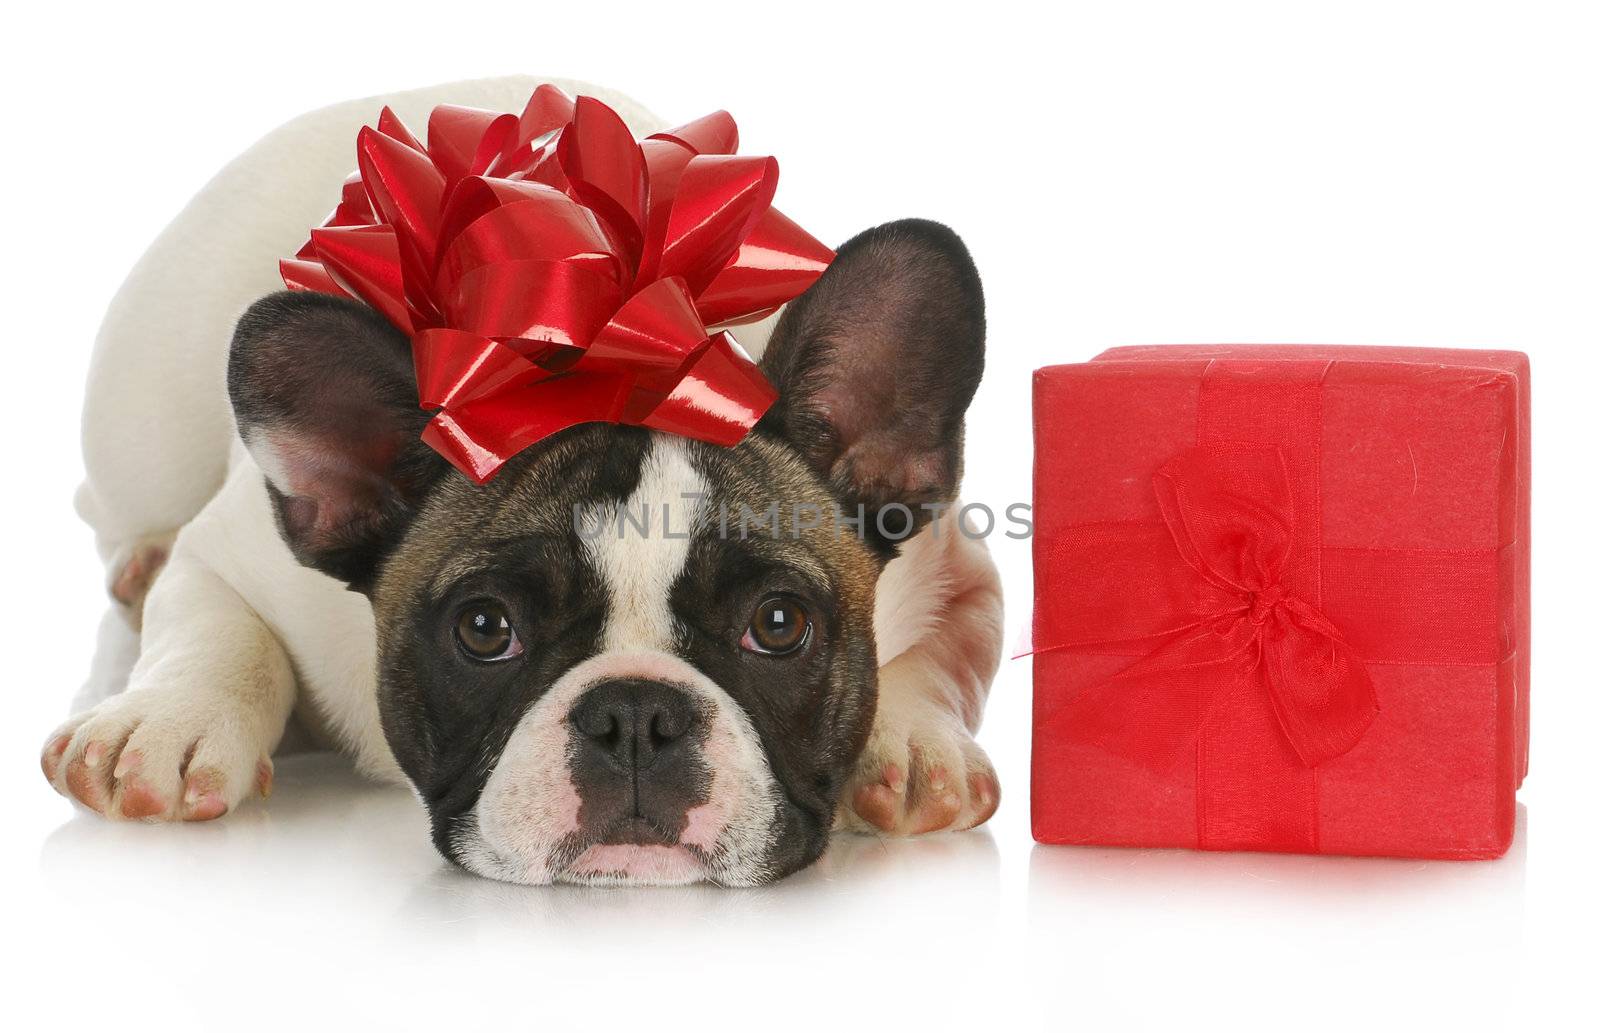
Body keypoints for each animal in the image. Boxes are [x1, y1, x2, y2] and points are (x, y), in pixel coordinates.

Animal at [40, 74, 998, 889]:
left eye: (778, 623)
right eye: (484, 628)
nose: (637, 715)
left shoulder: (956, 568)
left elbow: (941, 659)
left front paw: (914, 745)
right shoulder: (229, 554)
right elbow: (215, 628)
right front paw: (162, 723)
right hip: (139, 418)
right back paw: (137, 565)